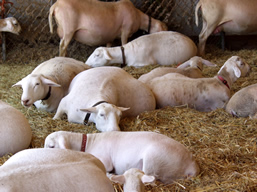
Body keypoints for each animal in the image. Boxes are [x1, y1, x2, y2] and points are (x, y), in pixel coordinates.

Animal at [45, 131, 199, 184]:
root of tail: (191, 164)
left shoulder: (104, 160)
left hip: (153, 159)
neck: (88, 143)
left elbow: (106, 168)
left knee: (151, 180)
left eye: (51, 146)